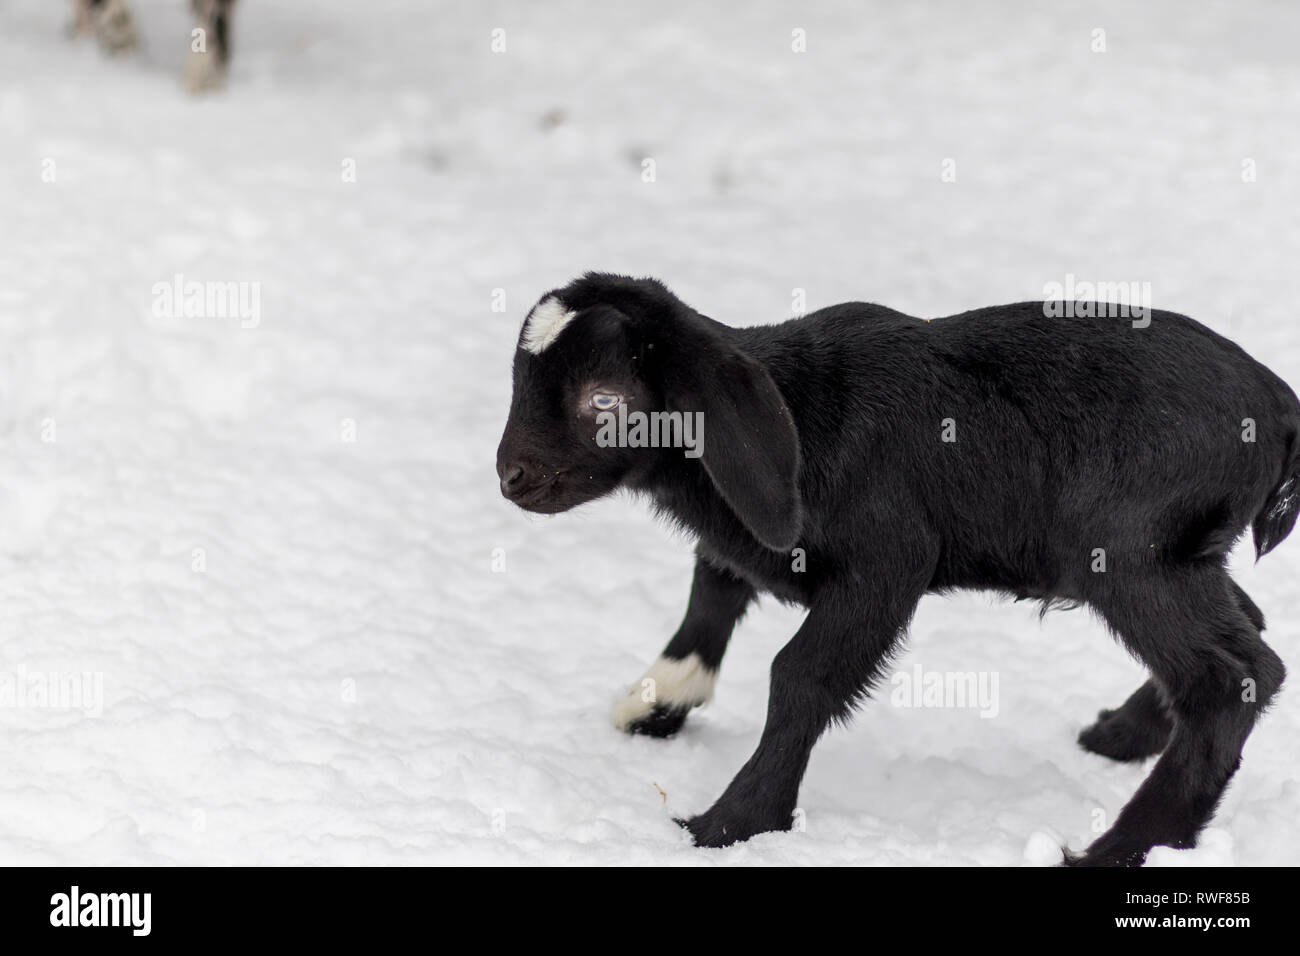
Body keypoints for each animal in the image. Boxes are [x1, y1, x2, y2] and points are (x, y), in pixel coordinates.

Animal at [491, 270, 1294, 868]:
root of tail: (1277, 407)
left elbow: (801, 675)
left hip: (1132, 555)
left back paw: (1119, 848)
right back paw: (1119, 738)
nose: (510, 476)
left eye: (604, 399)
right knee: (1246, 630)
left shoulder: (887, 563)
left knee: (1234, 675)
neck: (802, 412)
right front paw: (657, 704)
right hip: (1175, 557)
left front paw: (730, 823)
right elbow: (713, 589)